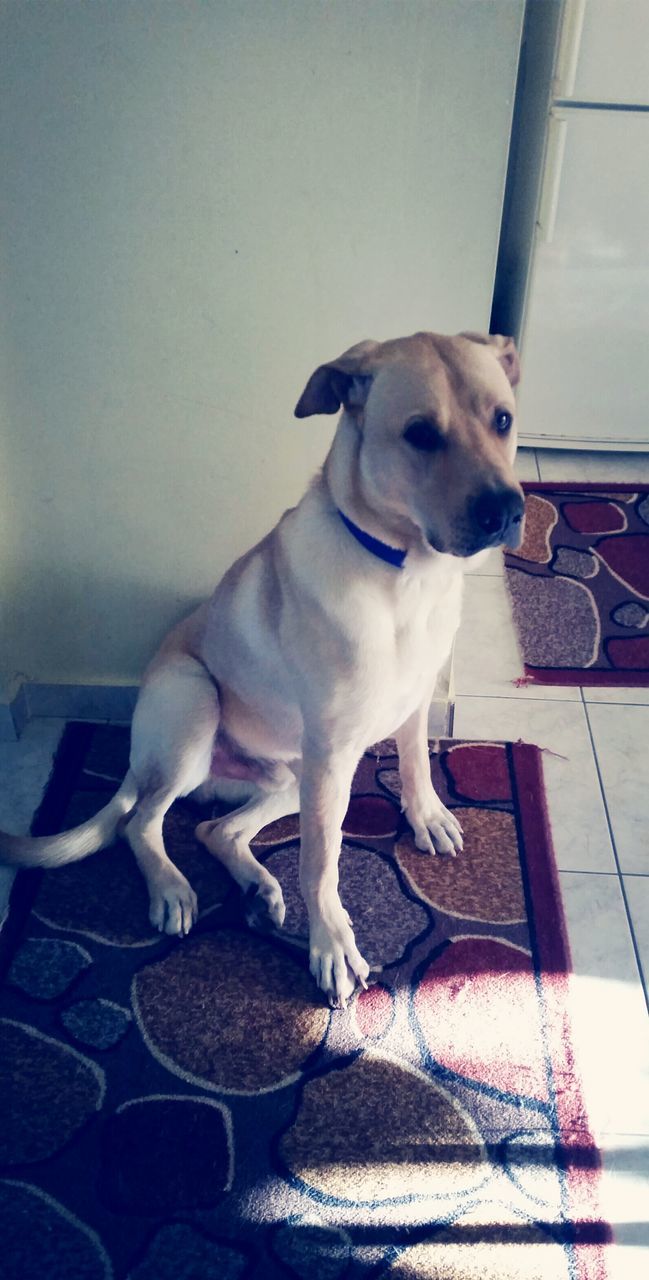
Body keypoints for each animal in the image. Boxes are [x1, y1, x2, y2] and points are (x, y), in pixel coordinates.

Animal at [0, 332, 524, 1008]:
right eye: (420, 434)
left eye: (502, 420)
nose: (506, 509)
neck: (407, 575)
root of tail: (140, 763)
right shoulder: (331, 754)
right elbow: (320, 865)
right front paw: (331, 947)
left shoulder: (411, 703)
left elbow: (415, 763)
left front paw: (426, 816)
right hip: (200, 709)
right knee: (141, 822)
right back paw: (171, 888)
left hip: (287, 780)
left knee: (214, 830)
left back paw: (255, 885)